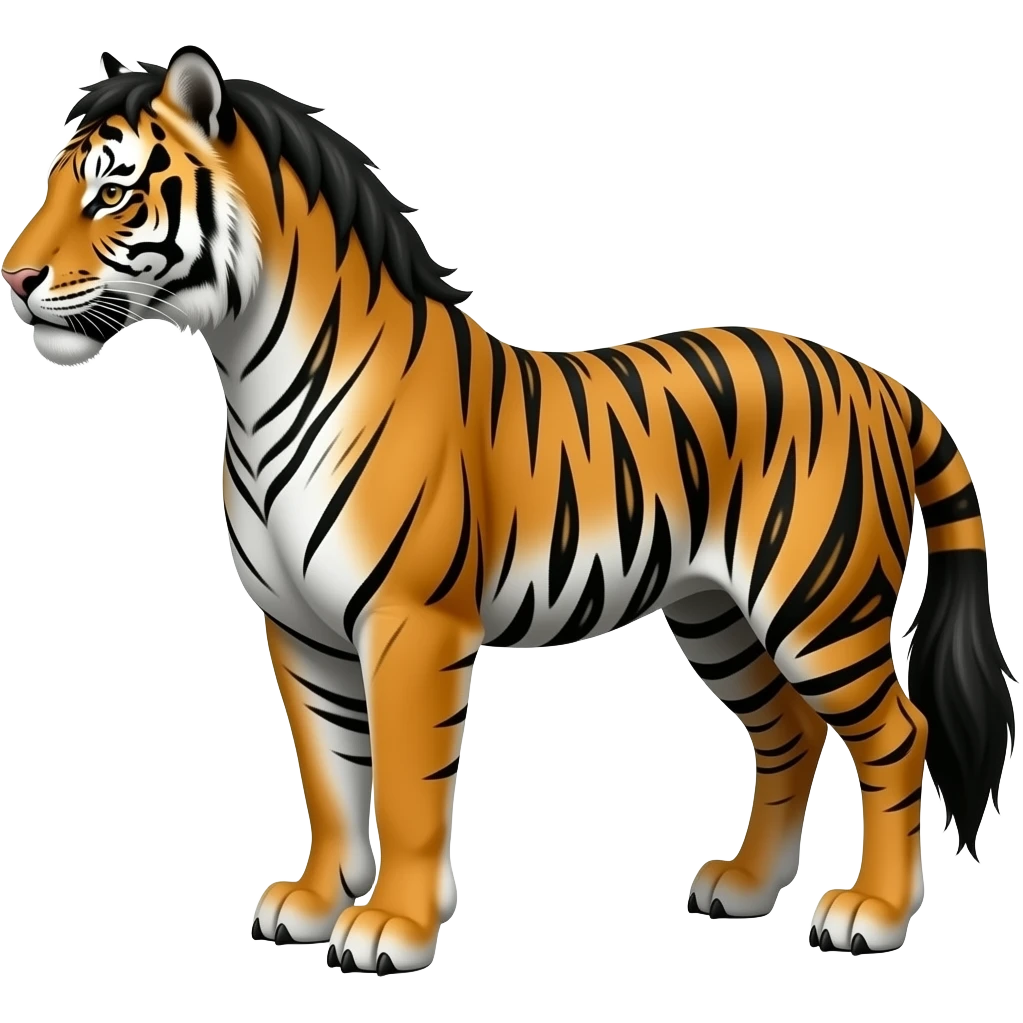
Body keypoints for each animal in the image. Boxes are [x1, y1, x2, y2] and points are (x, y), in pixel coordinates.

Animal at [3, 45, 1016, 971]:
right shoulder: (297, 630)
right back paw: (744, 887)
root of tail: (879, 381)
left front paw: (392, 927)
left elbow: (405, 787)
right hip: (718, 615)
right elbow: (329, 778)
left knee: (897, 736)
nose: (13, 278)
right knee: (789, 735)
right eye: (54, 184)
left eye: (111, 193)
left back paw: (871, 916)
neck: (249, 376)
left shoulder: (411, 624)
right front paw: (312, 904)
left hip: (816, 608)